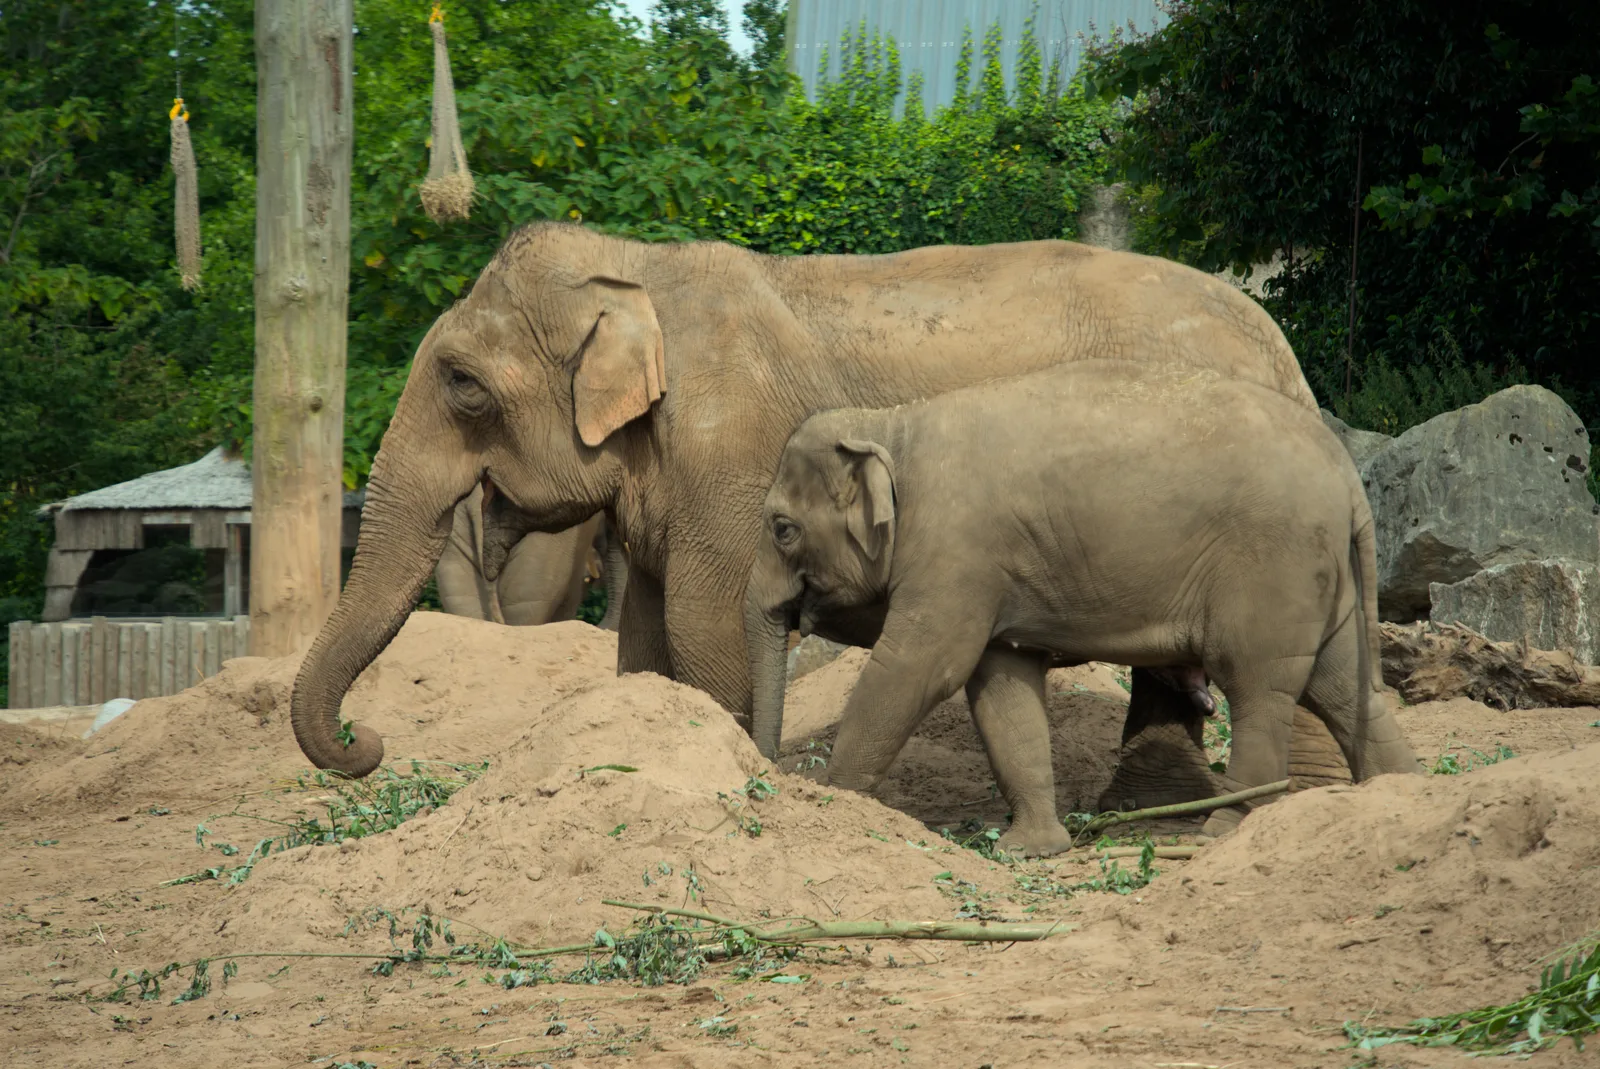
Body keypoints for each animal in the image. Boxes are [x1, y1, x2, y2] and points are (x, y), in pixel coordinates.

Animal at [743, 361, 1422, 854]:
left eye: (782, 529)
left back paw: (1222, 832)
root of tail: (1347, 476)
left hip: (1272, 570)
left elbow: (918, 668)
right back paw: (1400, 798)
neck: (890, 427)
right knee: (1342, 688)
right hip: (1321, 582)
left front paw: (835, 805)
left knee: (1259, 689)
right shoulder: (991, 571)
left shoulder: (955, 553)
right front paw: (1030, 849)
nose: (773, 779)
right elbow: (1001, 686)